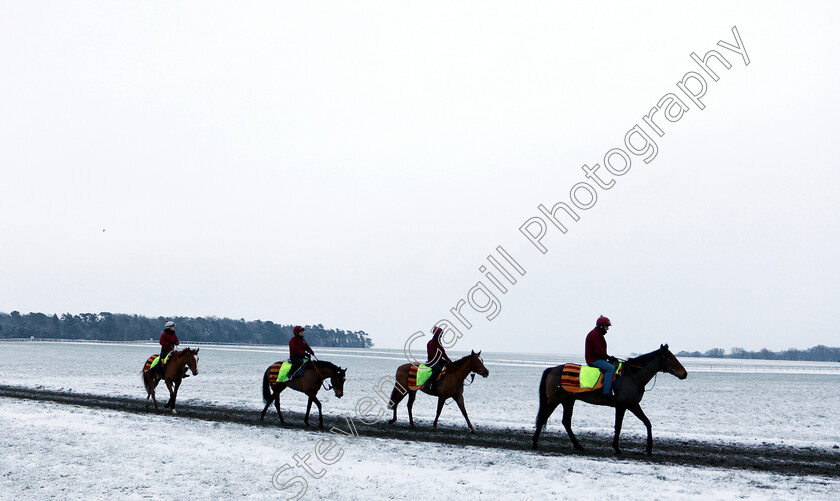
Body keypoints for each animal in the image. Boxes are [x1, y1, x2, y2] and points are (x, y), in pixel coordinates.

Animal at [536, 344, 684, 454]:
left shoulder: (633, 405)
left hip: (568, 401)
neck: (632, 376)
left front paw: (649, 448)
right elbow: (618, 426)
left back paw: (578, 446)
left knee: (566, 421)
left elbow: (647, 423)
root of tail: (553, 369)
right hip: (554, 400)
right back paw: (534, 443)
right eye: (670, 357)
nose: (684, 373)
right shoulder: (622, 406)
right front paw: (616, 448)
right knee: (543, 417)